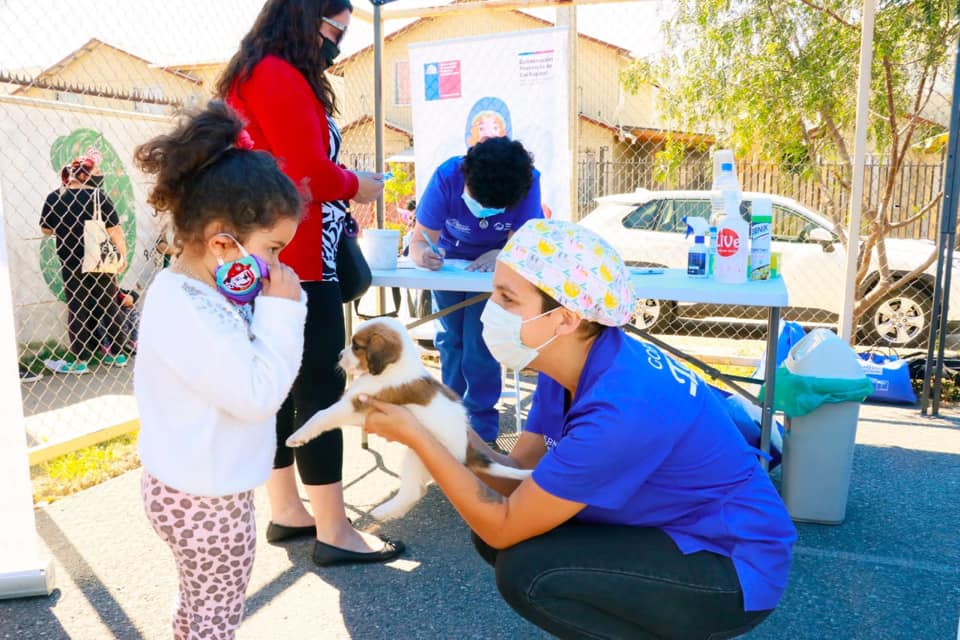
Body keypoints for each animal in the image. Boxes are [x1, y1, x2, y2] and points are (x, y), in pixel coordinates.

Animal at [284, 316, 532, 520]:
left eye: (356, 346)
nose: (338, 355)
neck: (393, 367)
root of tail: (466, 450)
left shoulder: (354, 406)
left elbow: (320, 416)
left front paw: (297, 436)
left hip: (419, 452)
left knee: (414, 491)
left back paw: (383, 512)